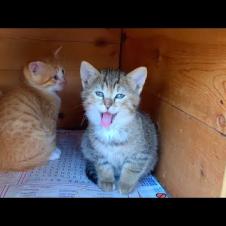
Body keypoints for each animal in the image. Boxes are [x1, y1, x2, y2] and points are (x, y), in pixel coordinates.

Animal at [80, 60, 158, 194]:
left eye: (120, 96)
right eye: (99, 93)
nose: (107, 105)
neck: (111, 131)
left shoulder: (141, 154)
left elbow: (132, 168)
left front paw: (126, 184)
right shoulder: (97, 152)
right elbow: (103, 166)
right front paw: (106, 181)